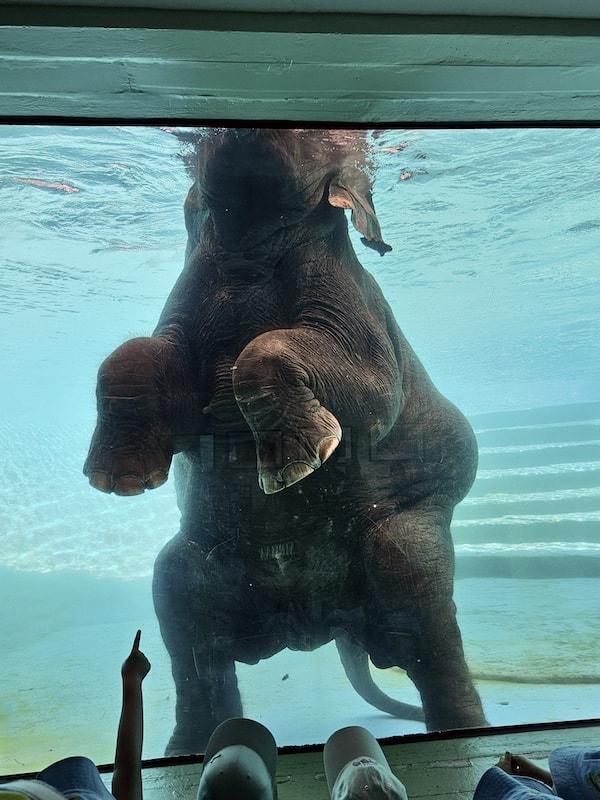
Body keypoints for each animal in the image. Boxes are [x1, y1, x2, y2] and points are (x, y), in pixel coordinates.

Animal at [84, 128, 487, 756]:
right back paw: (185, 751)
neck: (247, 244)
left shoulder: (360, 312)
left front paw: (295, 466)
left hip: (408, 526)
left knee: (420, 608)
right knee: (186, 621)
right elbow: (140, 354)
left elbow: (370, 393)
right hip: (195, 567)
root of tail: (320, 628)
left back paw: (461, 735)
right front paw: (119, 479)